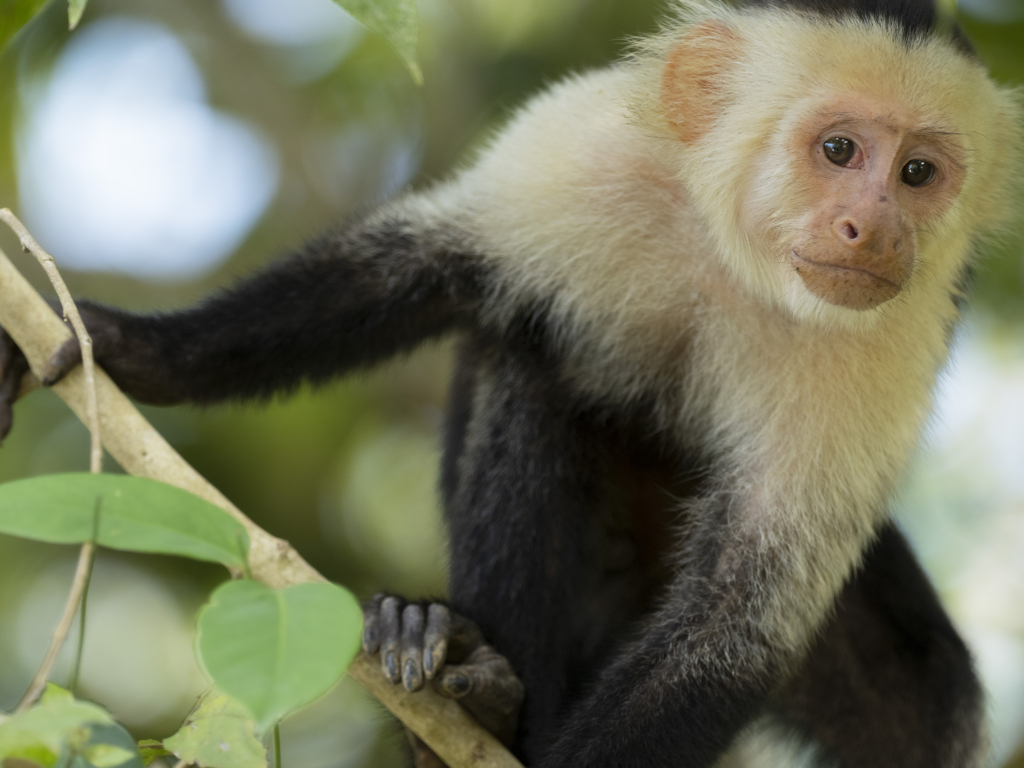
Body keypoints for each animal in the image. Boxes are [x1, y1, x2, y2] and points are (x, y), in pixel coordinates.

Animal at [0, 0, 1019, 765]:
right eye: (839, 150)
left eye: (918, 172)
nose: (872, 230)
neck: (737, 259)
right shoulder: (589, 149)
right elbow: (417, 269)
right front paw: (131, 348)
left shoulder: (893, 334)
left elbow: (737, 620)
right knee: (528, 363)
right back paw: (473, 683)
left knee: (931, 708)